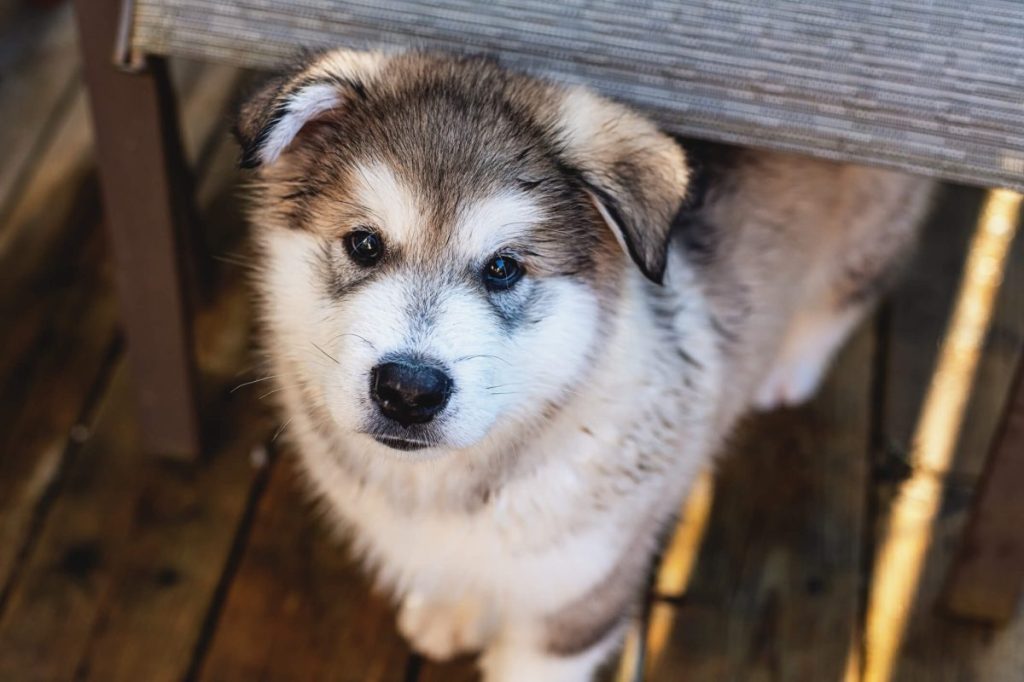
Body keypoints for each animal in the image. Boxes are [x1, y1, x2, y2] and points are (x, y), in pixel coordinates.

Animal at [235, 49, 933, 679]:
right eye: (364, 244)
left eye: (503, 268)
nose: (408, 390)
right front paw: (453, 610)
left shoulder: (576, 606)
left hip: (874, 215)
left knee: (855, 285)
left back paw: (792, 364)